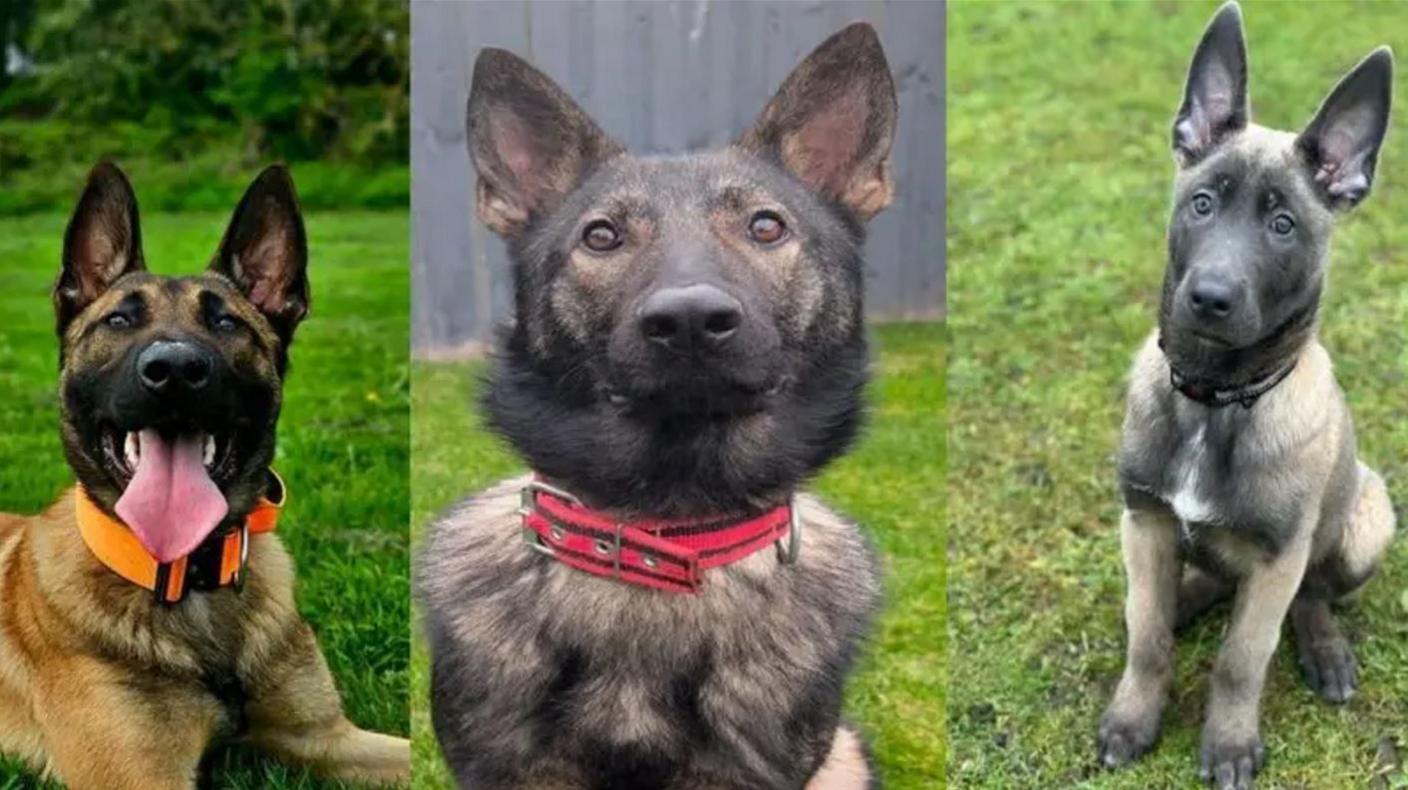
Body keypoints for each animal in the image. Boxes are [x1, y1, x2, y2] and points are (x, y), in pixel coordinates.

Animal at [0, 163, 411, 782]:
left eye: (226, 322)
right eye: (119, 320)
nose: (173, 369)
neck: (188, 575)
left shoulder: (328, 738)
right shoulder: (142, 777)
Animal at [1092, 3, 1391, 782]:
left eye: (1283, 225)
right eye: (1202, 204)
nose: (1209, 299)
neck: (1217, 399)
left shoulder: (1278, 557)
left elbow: (1241, 660)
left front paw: (1228, 745)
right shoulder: (1144, 521)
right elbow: (1147, 640)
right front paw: (1133, 718)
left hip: (1366, 520)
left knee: (1311, 596)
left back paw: (1324, 650)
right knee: (1191, 590)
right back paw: (1186, 598)